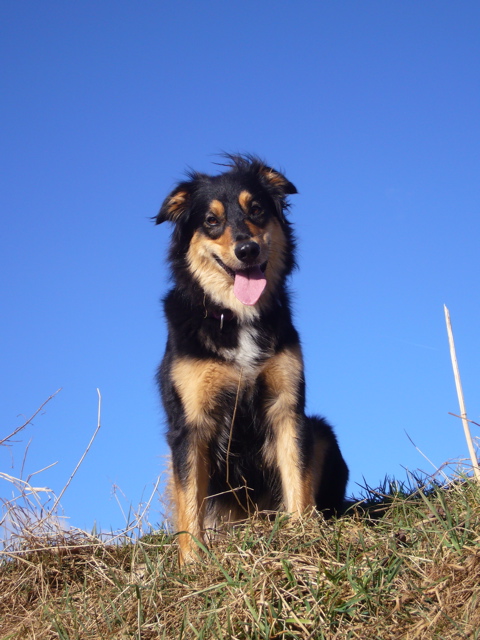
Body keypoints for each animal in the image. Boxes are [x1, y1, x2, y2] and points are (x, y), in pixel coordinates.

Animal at [158, 156, 348, 564]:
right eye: (211, 221)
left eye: (257, 209)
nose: (247, 250)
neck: (237, 315)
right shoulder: (191, 425)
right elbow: (189, 503)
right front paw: (192, 562)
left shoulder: (285, 406)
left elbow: (296, 477)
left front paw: (303, 536)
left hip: (321, 430)